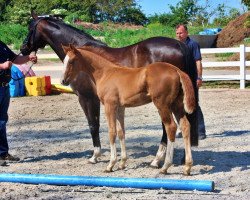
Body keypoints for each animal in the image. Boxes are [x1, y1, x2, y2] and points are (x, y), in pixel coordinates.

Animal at [61, 45, 196, 175]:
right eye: (64, 61)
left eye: (72, 61)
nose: (63, 81)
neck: (105, 73)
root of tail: (176, 70)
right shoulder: (120, 107)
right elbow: (121, 132)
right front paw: (122, 163)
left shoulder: (110, 105)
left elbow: (112, 132)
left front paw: (110, 164)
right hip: (176, 105)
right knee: (185, 126)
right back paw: (187, 167)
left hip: (162, 105)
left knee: (171, 127)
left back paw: (165, 166)